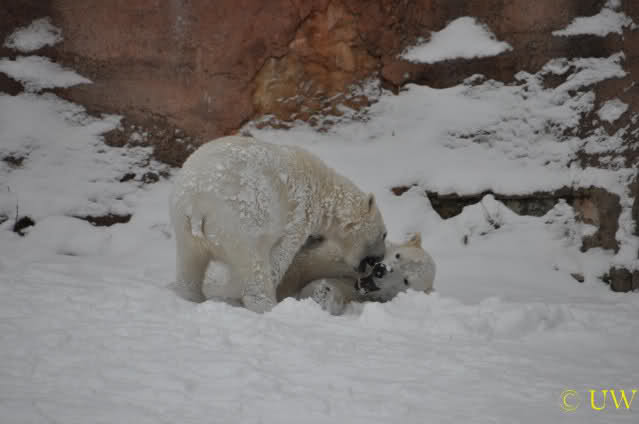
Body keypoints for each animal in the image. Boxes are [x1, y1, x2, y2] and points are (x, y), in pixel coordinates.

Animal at [169, 135, 387, 313]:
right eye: (383, 234)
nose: (379, 260)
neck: (322, 188)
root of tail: (196, 202)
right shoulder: (298, 213)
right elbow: (281, 255)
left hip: (182, 223)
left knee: (189, 263)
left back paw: (190, 296)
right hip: (237, 222)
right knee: (253, 264)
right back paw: (267, 306)